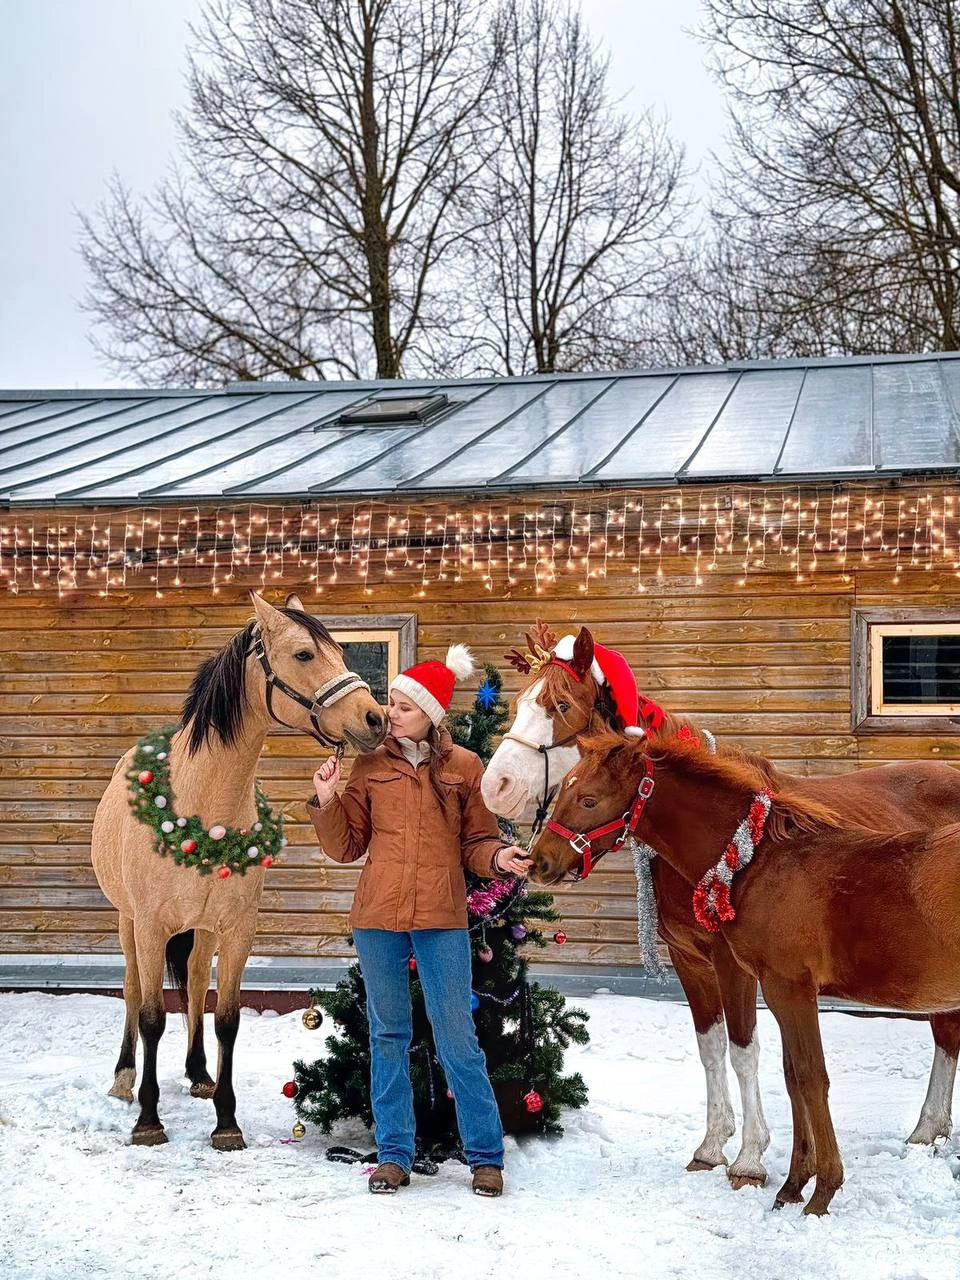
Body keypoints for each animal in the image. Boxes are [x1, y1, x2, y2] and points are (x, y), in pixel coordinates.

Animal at [91, 591, 387, 1149]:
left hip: (202, 930)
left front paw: (226, 1122)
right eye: (303, 654)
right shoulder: (150, 926)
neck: (202, 805)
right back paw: (123, 1078)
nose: (374, 718)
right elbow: (151, 1016)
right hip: (126, 923)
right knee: (131, 990)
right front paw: (148, 1119)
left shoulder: (237, 929)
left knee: (193, 983)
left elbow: (225, 1017)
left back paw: (199, 1073)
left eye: (341, 650)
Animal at [483, 623, 960, 1187]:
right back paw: (929, 1131)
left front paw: (750, 1158)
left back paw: (926, 1128)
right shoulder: (691, 959)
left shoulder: (736, 964)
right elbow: (711, 1050)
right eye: (518, 703)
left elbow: (744, 1051)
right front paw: (712, 1147)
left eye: (558, 705)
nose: (496, 787)